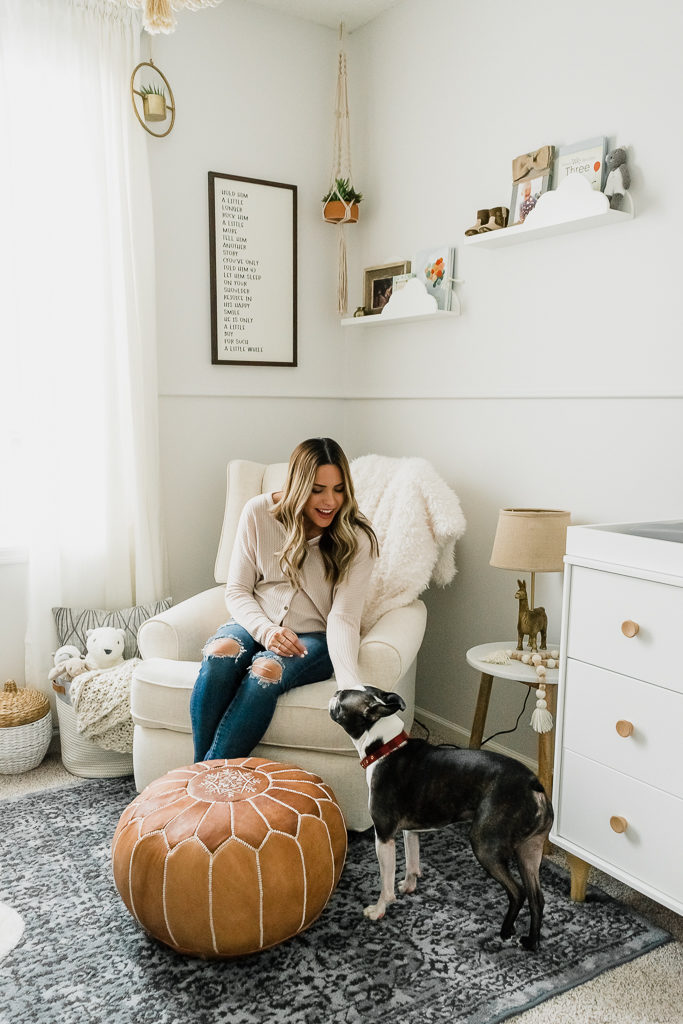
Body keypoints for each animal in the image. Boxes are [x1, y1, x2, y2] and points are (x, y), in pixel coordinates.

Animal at [331, 684, 557, 946]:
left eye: (341, 699)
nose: (334, 693)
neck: (385, 748)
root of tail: (533, 784)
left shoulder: (384, 836)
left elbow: (385, 883)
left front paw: (379, 910)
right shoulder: (410, 831)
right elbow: (412, 861)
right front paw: (409, 886)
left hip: (485, 845)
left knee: (518, 891)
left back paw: (506, 931)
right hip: (529, 851)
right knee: (537, 898)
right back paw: (531, 942)